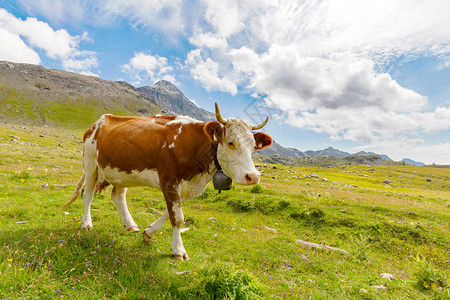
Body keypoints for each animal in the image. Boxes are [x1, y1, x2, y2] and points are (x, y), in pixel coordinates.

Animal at [61, 102, 272, 258]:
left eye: (253, 146)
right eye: (230, 142)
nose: (253, 176)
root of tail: (100, 121)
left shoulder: (187, 186)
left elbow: (171, 213)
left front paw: (148, 232)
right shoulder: (169, 181)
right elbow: (177, 218)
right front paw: (178, 250)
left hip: (122, 172)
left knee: (118, 197)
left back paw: (131, 225)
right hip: (90, 163)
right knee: (88, 194)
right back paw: (86, 224)